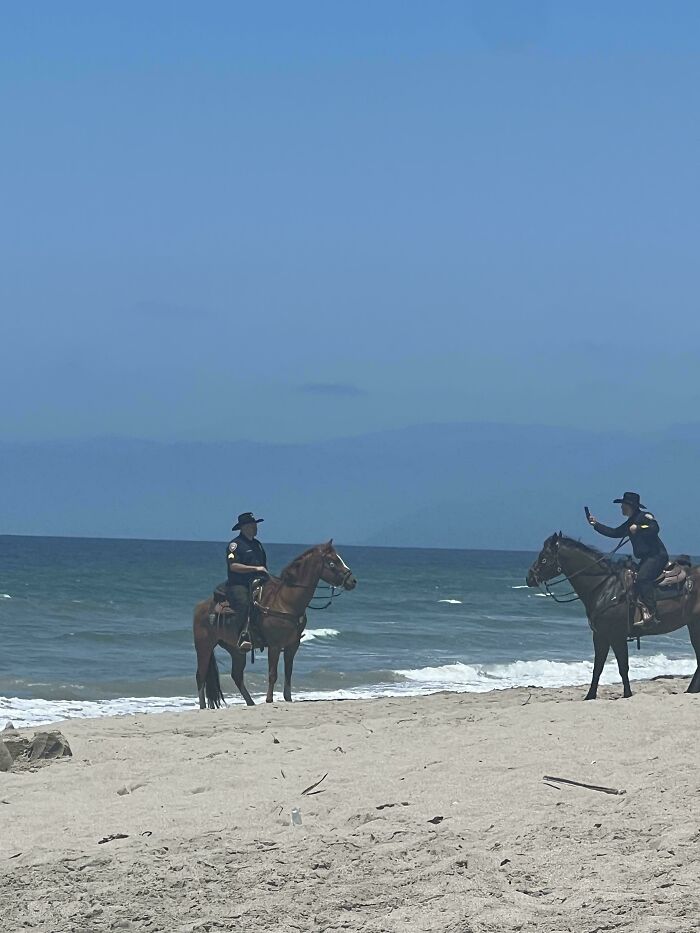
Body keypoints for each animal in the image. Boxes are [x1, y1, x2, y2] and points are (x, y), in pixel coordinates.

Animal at [191, 540, 356, 708]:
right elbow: (272, 673)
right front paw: (269, 699)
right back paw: (203, 707)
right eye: (332, 563)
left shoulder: (292, 645)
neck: (286, 602)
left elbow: (288, 672)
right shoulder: (275, 645)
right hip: (204, 645)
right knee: (201, 675)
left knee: (236, 676)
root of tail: (200, 606)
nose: (353, 581)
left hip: (236, 650)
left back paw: (251, 703)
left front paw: (288, 698)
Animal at [524, 532, 700, 700]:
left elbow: (623, 667)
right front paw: (590, 696)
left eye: (544, 557)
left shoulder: (616, 636)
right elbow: (598, 668)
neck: (605, 588)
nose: (529, 578)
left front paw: (627, 694)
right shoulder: (600, 636)